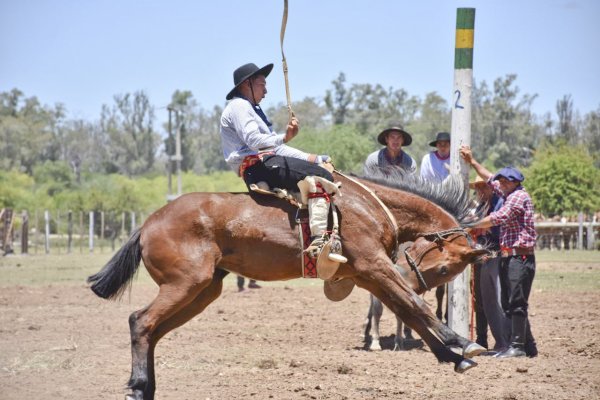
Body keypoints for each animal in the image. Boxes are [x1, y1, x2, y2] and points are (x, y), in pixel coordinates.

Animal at [90, 170, 492, 400]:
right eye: (445, 268)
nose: (416, 279)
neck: (367, 207)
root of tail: (148, 222)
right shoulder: (377, 267)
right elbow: (416, 306)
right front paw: (463, 343)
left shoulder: (368, 276)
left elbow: (408, 311)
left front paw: (452, 356)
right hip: (186, 285)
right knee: (141, 321)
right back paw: (138, 388)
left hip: (203, 292)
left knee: (152, 330)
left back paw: (146, 387)